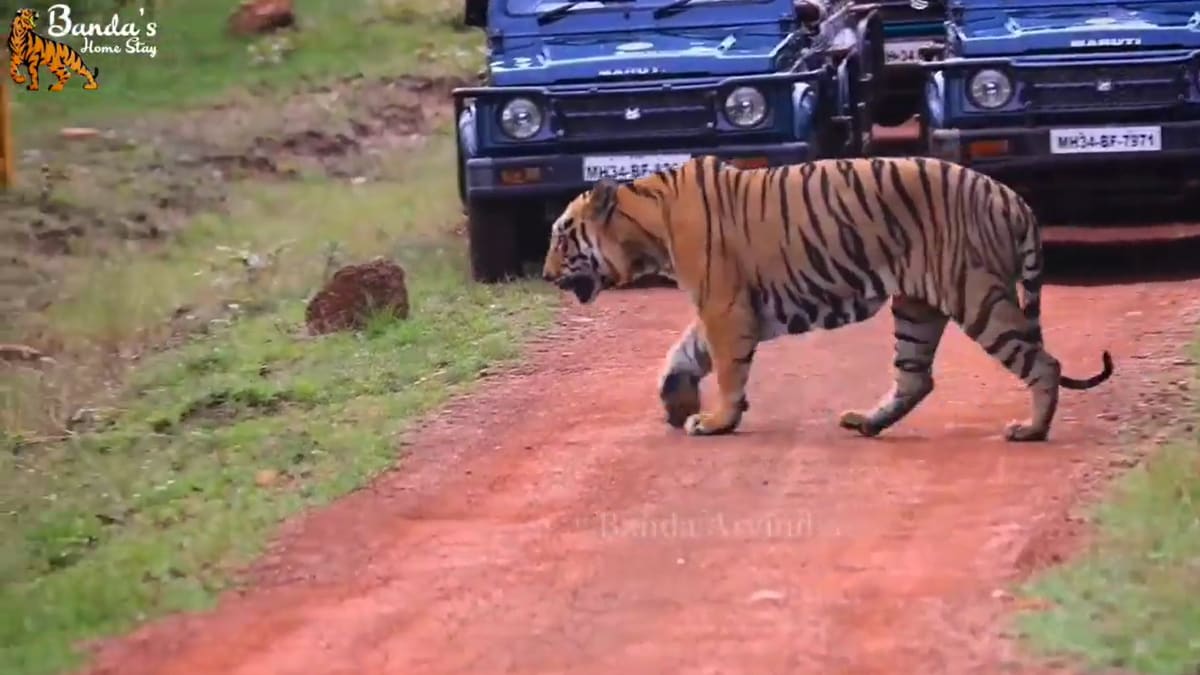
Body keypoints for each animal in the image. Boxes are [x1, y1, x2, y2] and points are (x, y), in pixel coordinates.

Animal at [544, 154, 1113, 441]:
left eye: (562, 237)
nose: (547, 276)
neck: (646, 223)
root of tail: (1013, 197)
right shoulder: (724, 306)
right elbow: (685, 351)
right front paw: (676, 401)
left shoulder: (725, 305)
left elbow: (725, 368)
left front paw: (717, 420)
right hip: (917, 305)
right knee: (916, 377)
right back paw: (866, 422)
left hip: (977, 295)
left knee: (1042, 362)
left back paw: (1031, 429)